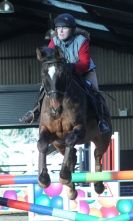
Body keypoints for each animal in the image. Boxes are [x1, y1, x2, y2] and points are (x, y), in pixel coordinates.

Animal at [35, 46, 111, 200]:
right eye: (43, 74)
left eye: (62, 73)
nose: (55, 109)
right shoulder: (47, 130)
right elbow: (42, 144)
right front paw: (43, 179)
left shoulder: (79, 128)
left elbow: (71, 139)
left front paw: (64, 176)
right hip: (58, 144)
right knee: (72, 155)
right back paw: (71, 189)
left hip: (103, 138)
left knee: (97, 154)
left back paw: (98, 185)